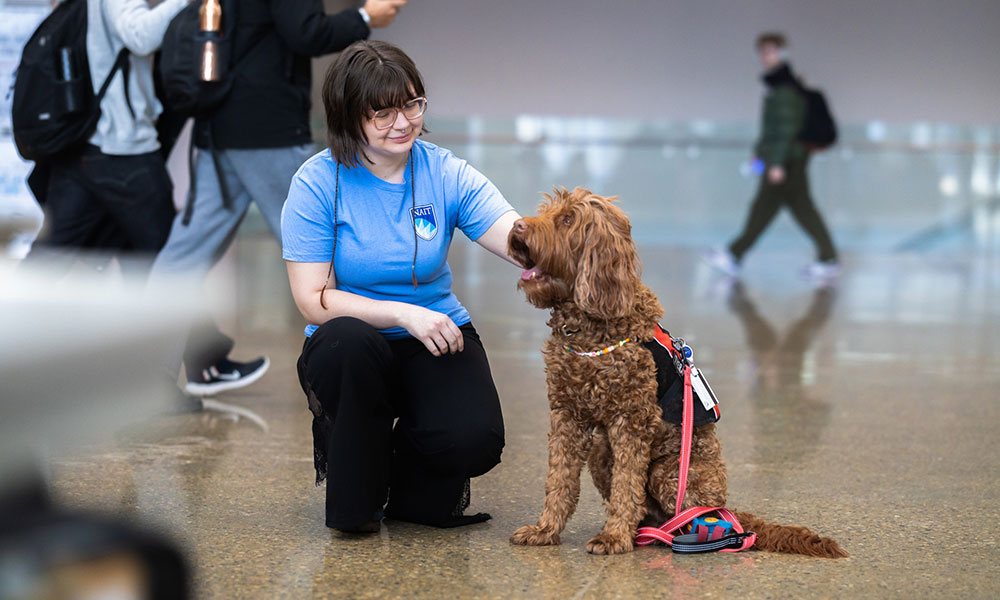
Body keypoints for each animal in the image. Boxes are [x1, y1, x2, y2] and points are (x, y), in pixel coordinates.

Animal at [508, 188, 844, 556]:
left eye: (568, 219)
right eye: (546, 211)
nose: (518, 226)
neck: (589, 326)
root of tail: (724, 506)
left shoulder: (632, 420)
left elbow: (627, 484)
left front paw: (614, 537)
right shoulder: (567, 415)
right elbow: (560, 480)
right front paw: (546, 529)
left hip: (668, 472)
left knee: (679, 512)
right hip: (601, 451)